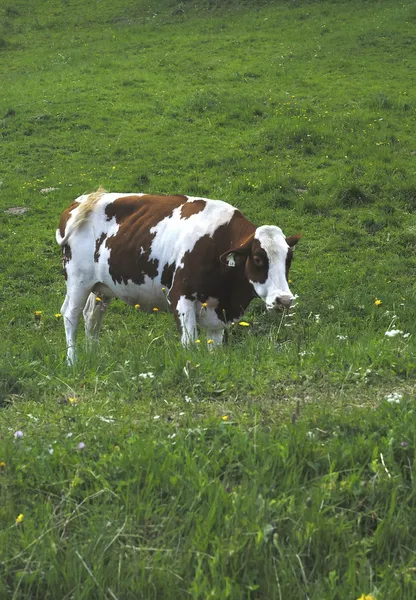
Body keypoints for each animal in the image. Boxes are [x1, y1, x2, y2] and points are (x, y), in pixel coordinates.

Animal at [56, 188, 302, 366]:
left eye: (289, 258)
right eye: (258, 259)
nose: (284, 300)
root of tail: (84, 200)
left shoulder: (218, 313)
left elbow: (215, 347)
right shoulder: (180, 296)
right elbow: (189, 343)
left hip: (101, 287)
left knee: (92, 317)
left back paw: (93, 356)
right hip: (78, 280)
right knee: (70, 315)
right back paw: (72, 361)